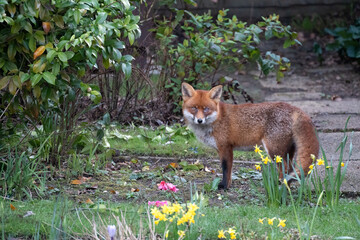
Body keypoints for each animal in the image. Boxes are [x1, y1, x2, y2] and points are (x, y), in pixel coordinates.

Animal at [181, 82, 320, 189]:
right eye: (194, 108)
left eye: (206, 109)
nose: (199, 120)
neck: (216, 119)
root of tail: (294, 107)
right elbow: (229, 172)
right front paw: (228, 185)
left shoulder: (225, 147)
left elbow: (226, 169)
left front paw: (224, 186)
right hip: (287, 151)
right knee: (290, 169)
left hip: (274, 151)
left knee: (284, 168)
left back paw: (279, 185)